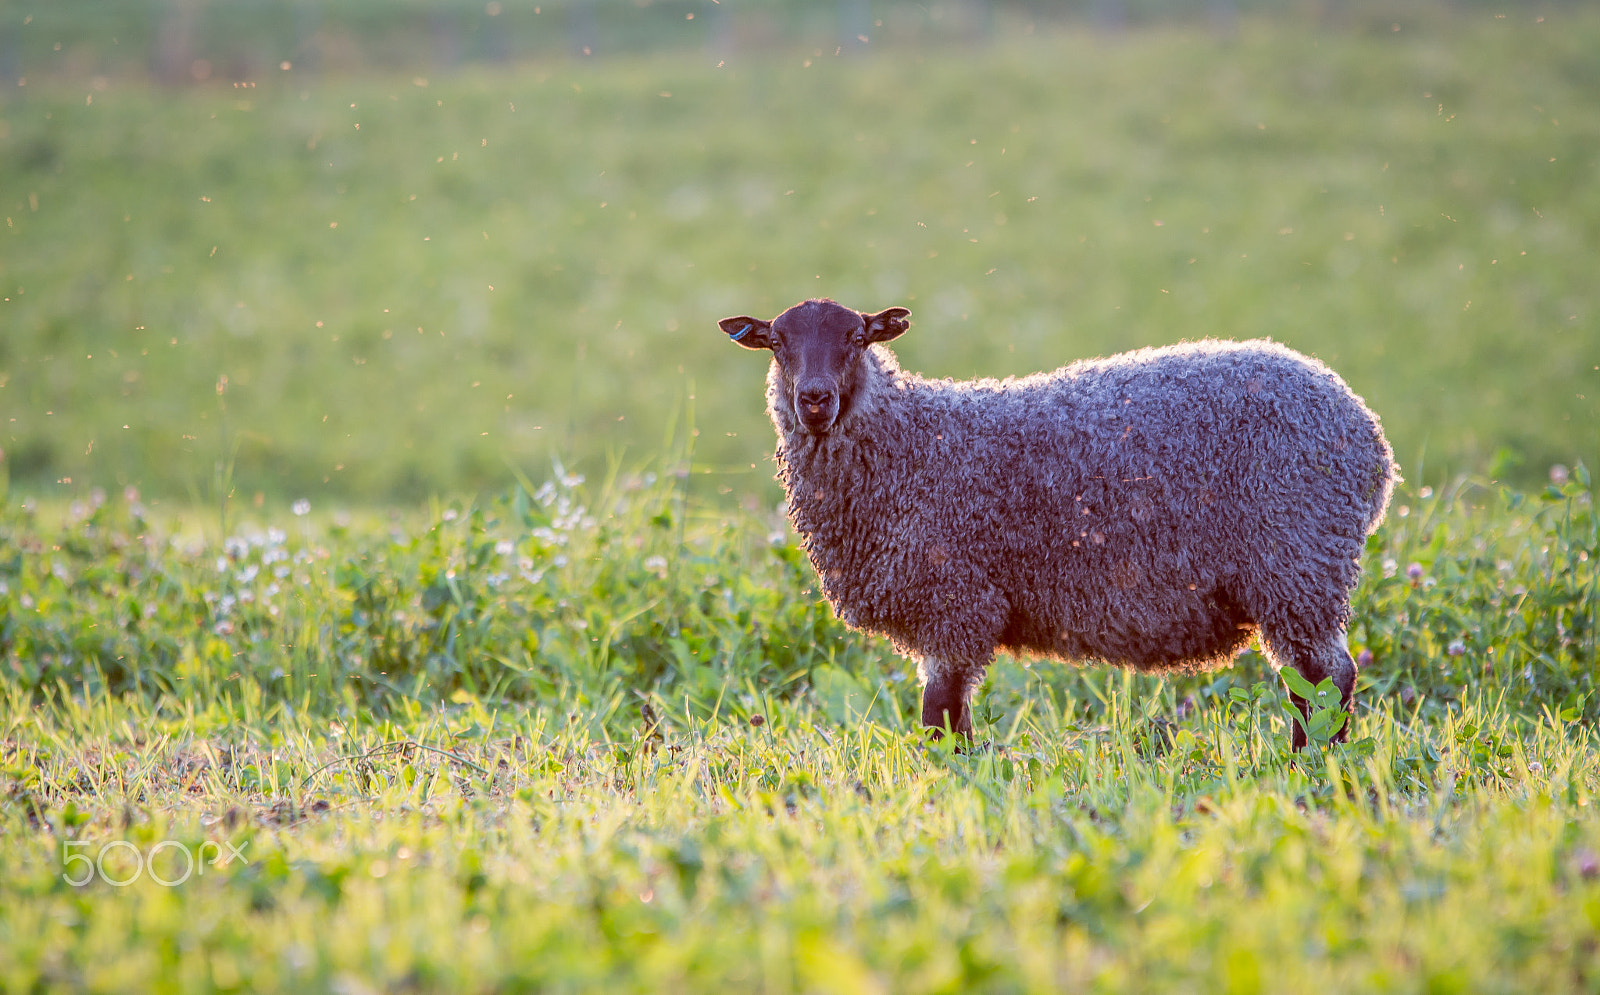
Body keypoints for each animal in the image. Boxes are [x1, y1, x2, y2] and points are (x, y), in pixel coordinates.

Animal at [719, 298, 1397, 748]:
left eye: (857, 337)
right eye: (778, 342)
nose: (814, 399)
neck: (912, 443)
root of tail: (1370, 438)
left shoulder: (955, 600)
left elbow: (941, 715)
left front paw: (944, 781)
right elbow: (951, 715)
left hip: (1296, 562)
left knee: (1329, 678)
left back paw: (1311, 763)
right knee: (1310, 681)